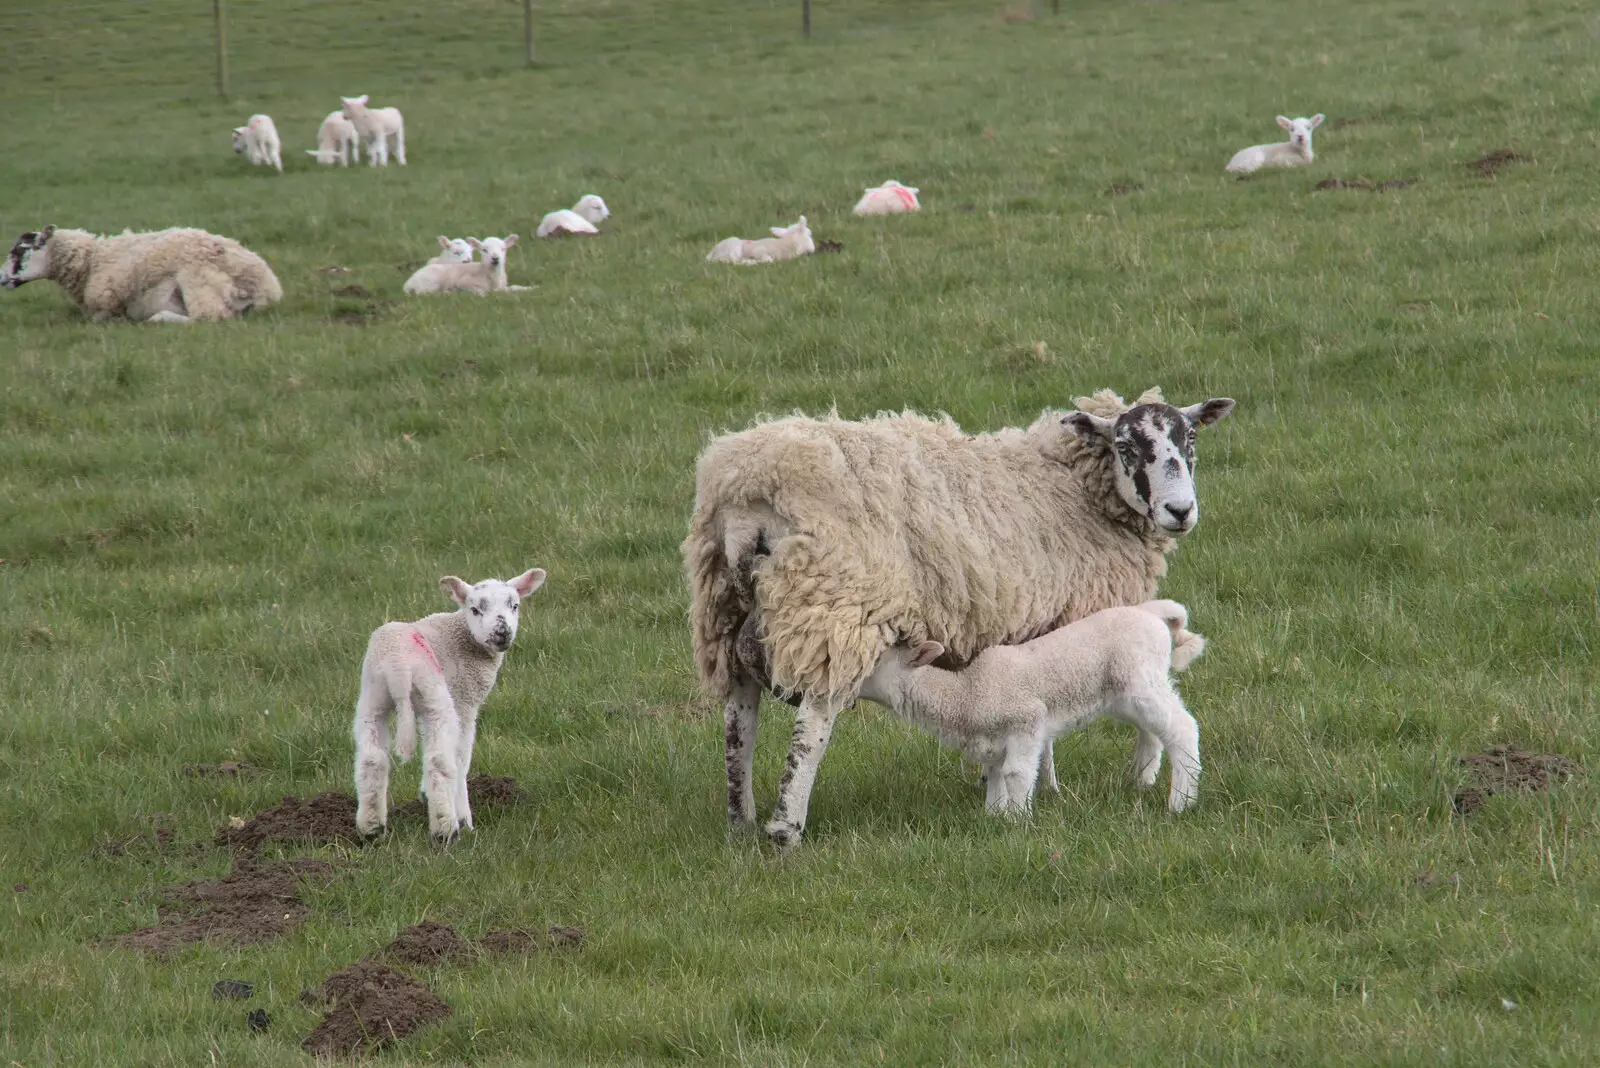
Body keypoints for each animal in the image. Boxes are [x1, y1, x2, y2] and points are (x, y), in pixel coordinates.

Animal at [1, 223, 283, 321]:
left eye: (18, 251)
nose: (2, 279)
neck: (92, 260)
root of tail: (264, 286)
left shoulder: (103, 308)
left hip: (197, 282)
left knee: (208, 317)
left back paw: (158, 318)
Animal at [353, 565, 547, 844]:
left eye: (515, 606)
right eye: (475, 609)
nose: (502, 633)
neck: (464, 638)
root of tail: (397, 667)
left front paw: (425, 795)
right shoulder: (464, 701)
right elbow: (461, 758)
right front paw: (464, 819)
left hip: (373, 695)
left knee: (372, 758)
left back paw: (371, 829)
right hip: (434, 695)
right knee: (439, 760)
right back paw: (447, 829)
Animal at [857, 601, 1203, 818]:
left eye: (876, 661)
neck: (965, 692)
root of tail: (1151, 613)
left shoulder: (1026, 720)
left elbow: (1016, 773)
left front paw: (1017, 823)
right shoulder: (991, 740)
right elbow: (996, 776)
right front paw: (994, 816)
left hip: (1140, 679)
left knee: (1182, 729)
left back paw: (1181, 802)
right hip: (1125, 693)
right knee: (1154, 731)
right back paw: (1141, 781)